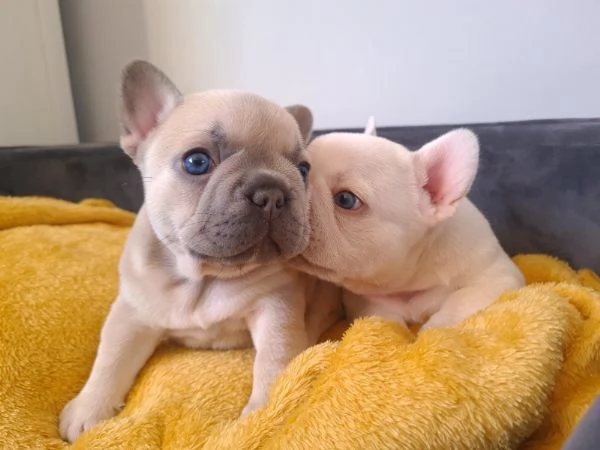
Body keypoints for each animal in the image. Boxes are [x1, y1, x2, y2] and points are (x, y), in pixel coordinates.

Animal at [61, 60, 344, 442]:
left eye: (303, 170)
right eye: (196, 162)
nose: (272, 191)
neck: (204, 277)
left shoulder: (276, 307)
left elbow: (274, 359)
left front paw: (266, 412)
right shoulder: (131, 313)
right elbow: (110, 358)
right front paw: (89, 408)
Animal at [292, 118, 524, 330]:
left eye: (346, 199)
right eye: (301, 167)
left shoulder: (497, 277)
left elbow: (459, 301)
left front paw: (433, 331)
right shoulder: (365, 299)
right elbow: (382, 319)